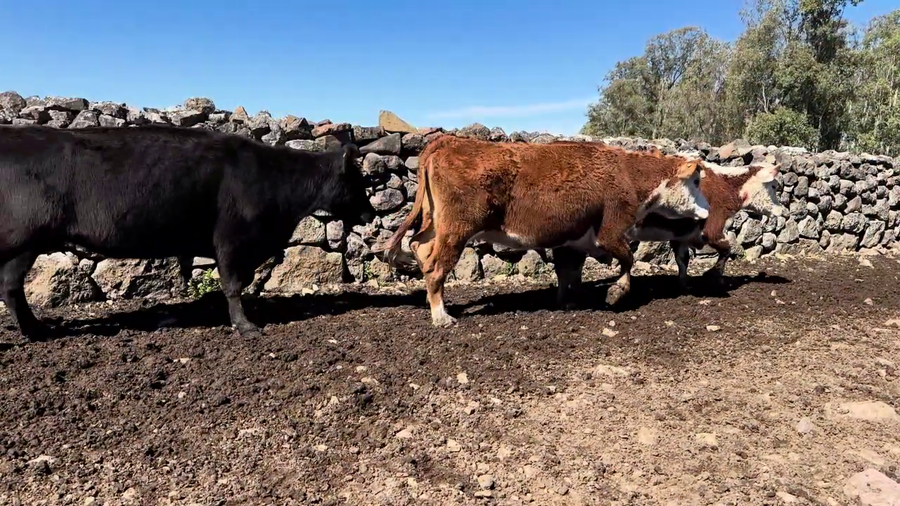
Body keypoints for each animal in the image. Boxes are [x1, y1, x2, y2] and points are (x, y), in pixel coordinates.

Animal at [0, 124, 375, 340]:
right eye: (356, 181)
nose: (371, 213)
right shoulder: (231, 239)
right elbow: (233, 284)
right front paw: (246, 326)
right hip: (22, 239)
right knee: (10, 286)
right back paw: (32, 331)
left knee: (11, 287)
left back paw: (35, 330)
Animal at [374, 135, 710, 327]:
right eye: (696, 181)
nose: (707, 212)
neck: (627, 174)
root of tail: (450, 141)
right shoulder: (612, 231)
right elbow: (627, 260)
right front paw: (616, 292)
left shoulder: (573, 239)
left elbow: (568, 272)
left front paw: (568, 301)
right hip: (455, 230)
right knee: (435, 266)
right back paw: (440, 315)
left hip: (435, 224)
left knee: (419, 246)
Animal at [553, 158, 784, 302]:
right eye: (774, 186)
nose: (783, 210)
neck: (724, 185)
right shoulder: (712, 229)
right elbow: (726, 249)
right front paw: (713, 275)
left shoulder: (681, 236)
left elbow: (683, 260)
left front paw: (684, 284)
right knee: (567, 267)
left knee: (567, 268)